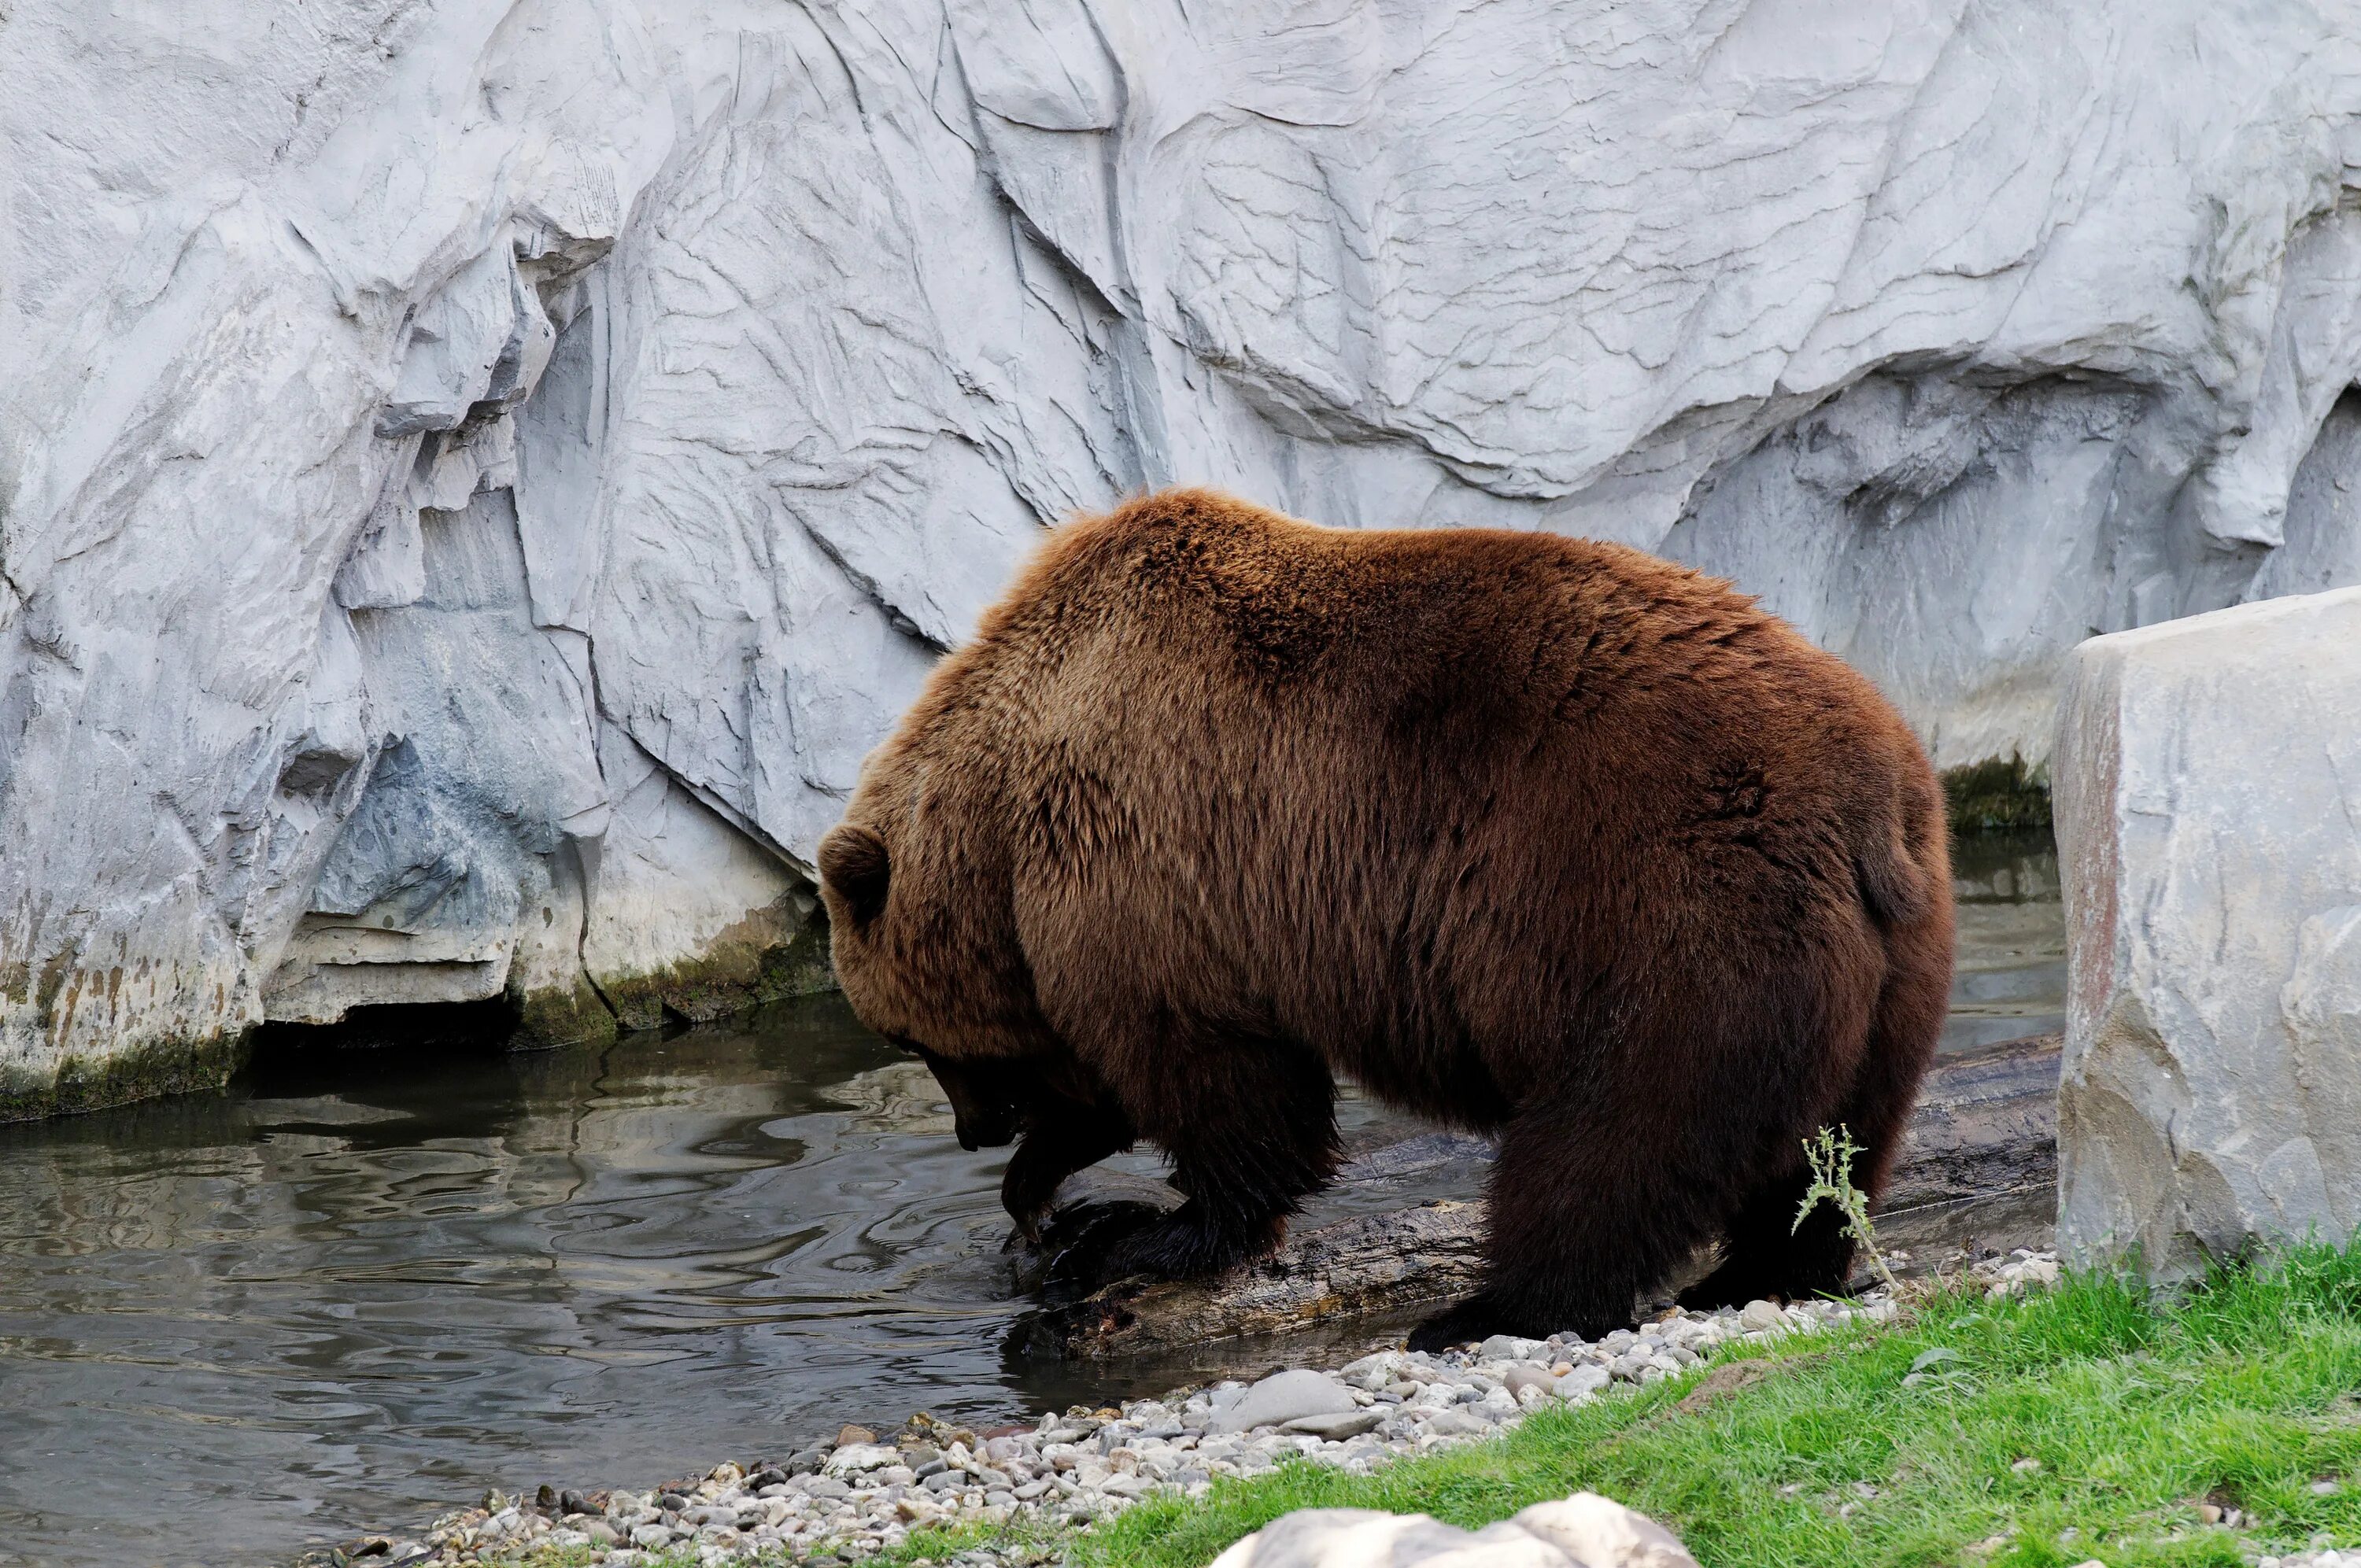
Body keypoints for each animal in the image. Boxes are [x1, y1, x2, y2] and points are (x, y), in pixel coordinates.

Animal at [817, 491, 1955, 1350]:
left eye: (911, 1040)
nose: (973, 1130)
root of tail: (1867, 793)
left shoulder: (1146, 865)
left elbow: (1217, 1084)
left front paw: (1143, 1232)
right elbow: (1116, 1085)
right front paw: (1046, 1204)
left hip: (1659, 911)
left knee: (1615, 1135)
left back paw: (1488, 1308)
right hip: (1896, 960)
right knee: (1832, 1149)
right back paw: (1762, 1271)